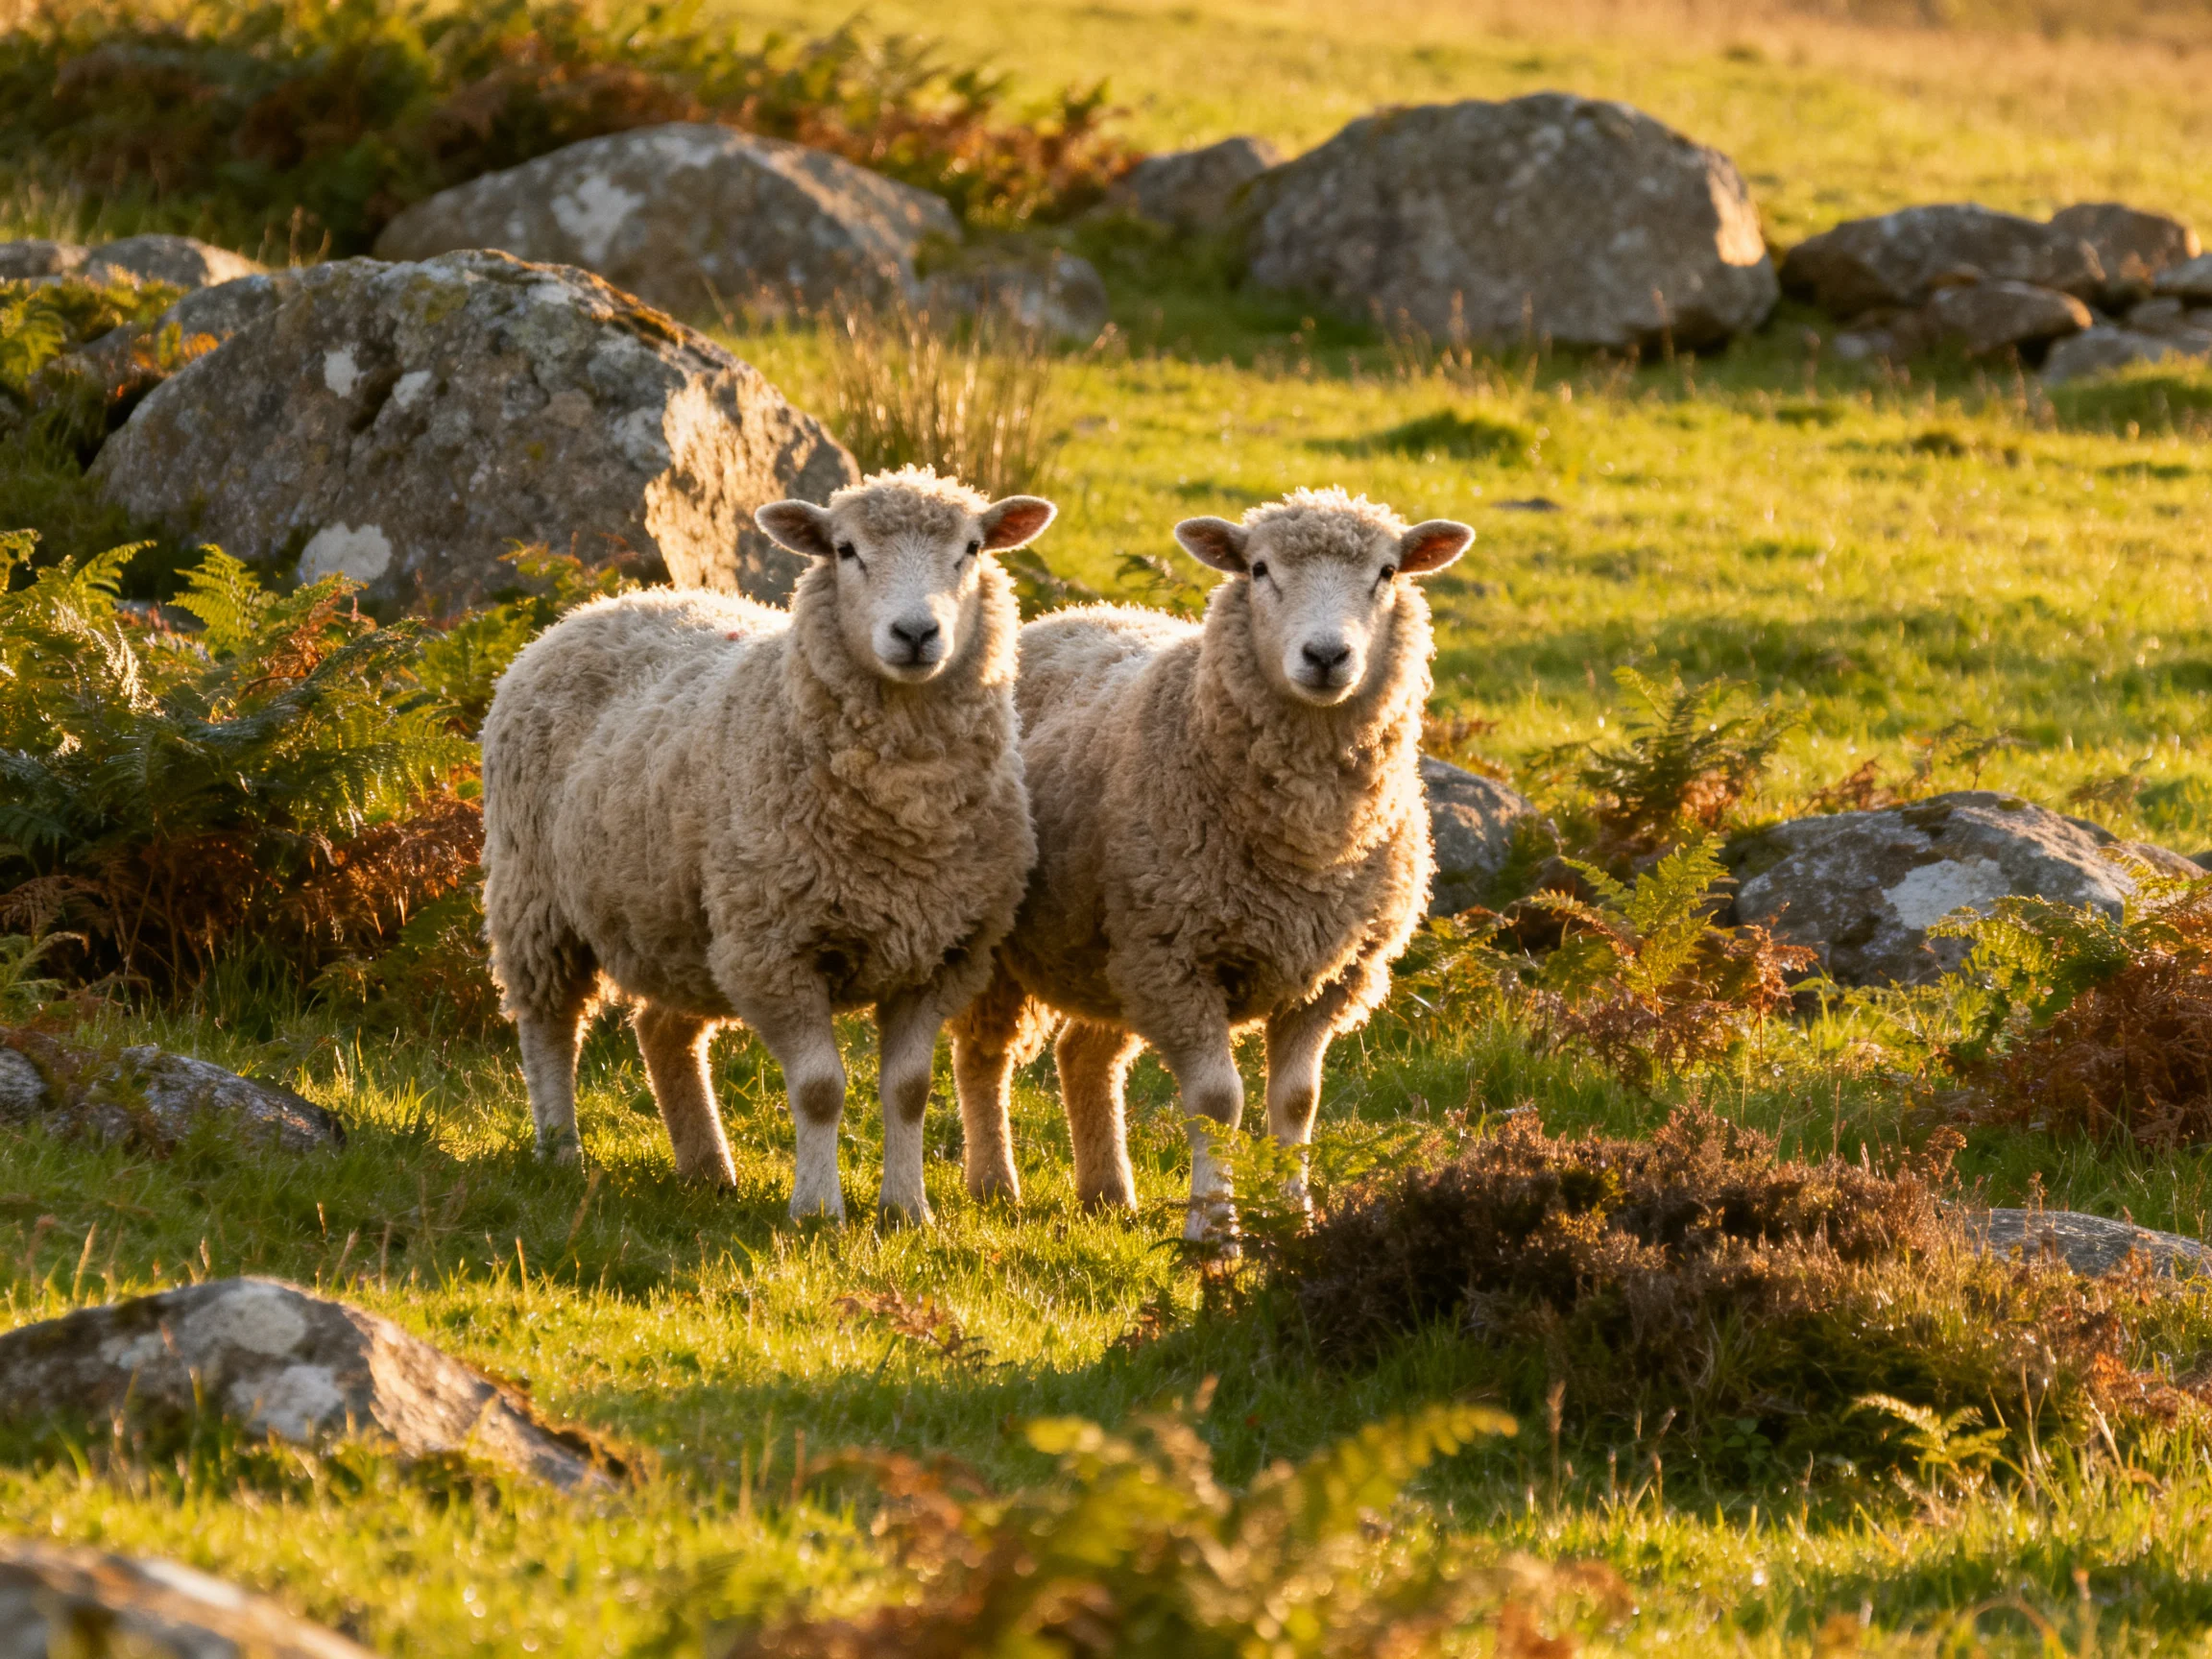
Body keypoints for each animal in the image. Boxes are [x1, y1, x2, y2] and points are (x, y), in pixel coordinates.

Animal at [480, 466, 1053, 1222]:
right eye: (844, 550)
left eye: (973, 548)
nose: (916, 632)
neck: (904, 816)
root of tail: (601, 604)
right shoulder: (776, 948)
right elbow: (819, 1089)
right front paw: (817, 1210)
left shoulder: (938, 955)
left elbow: (909, 1090)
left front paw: (907, 1210)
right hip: (535, 898)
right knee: (548, 1026)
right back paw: (560, 1150)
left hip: (679, 919)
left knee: (661, 1032)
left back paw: (707, 1169)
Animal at [949, 487, 1472, 1237]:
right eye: (1259, 570)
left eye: (1387, 572)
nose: (1326, 655)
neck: (1310, 842)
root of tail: (1060, 616)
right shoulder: (1178, 958)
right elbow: (1218, 1102)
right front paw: (1214, 1231)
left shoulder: (1333, 975)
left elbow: (1298, 1101)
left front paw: (1294, 1221)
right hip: (1029, 940)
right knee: (984, 1055)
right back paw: (995, 1185)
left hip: (1110, 953)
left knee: (1083, 1055)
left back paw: (1107, 1193)